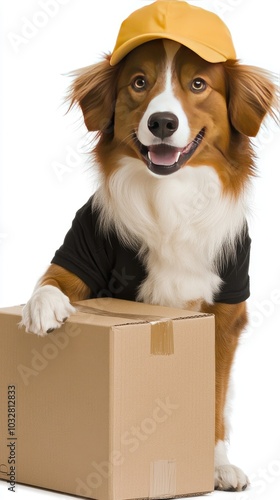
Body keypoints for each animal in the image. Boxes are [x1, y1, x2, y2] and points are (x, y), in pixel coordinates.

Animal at [20, 0, 278, 492]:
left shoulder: (226, 311)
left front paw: (217, 465)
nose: (162, 121)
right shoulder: (80, 250)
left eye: (198, 84)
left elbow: (214, 395)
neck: (170, 194)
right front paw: (43, 308)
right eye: (139, 83)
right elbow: (50, 280)